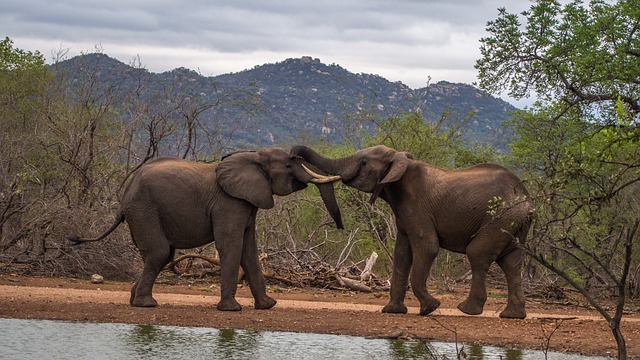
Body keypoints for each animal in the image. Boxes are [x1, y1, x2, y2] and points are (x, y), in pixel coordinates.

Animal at [67, 146, 342, 310]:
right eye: (287, 165)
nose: (339, 227)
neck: (254, 156)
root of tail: (124, 198)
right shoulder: (229, 202)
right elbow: (231, 244)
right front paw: (232, 309)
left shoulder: (247, 201)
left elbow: (249, 249)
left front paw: (268, 305)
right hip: (144, 210)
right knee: (159, 253)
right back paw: (147, 304)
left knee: (161, 255)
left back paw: (135, 301)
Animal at [292, 143, 532, 318]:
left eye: (363, 162)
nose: (294, 157)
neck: (401, 160)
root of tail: (526, 197)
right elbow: (401, 253)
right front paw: (393, 311)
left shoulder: (417, 207)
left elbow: (427, 247)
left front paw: (429, 308)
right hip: (513, 222)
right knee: (512, 262)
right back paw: (512, 315)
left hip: (501, 218)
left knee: (478, 253)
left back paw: (467, 310)